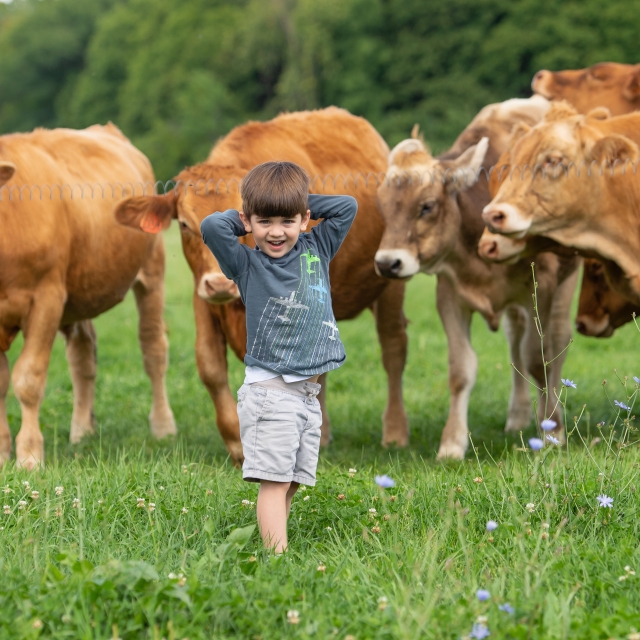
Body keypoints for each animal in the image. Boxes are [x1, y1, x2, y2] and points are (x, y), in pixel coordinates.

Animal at [0, 125, 175, 468]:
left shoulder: (47, 297)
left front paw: (30, 456)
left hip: (152, 270)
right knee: (82, 355)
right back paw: (82, 430)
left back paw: (163, 426)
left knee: (153, 348)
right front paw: (2, 453)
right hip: (80, 293)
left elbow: (28, 379)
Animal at [114, 109, 410, 460]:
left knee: (393, 349)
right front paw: (236, 441)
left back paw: (394, 432)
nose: (219, 283)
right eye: (184, 225)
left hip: (390, 279)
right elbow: (210, 367)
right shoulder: (203, 301)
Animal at [372, 96, 576, 460]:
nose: (387, 263)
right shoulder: (450, 296)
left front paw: (552, 430)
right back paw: (517, 416)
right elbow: (461, 370)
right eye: (382, 208)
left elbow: (538, 360)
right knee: (514, 342)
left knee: (556, 341)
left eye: (427, 206)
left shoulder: (542, 288)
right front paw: (452, 443)